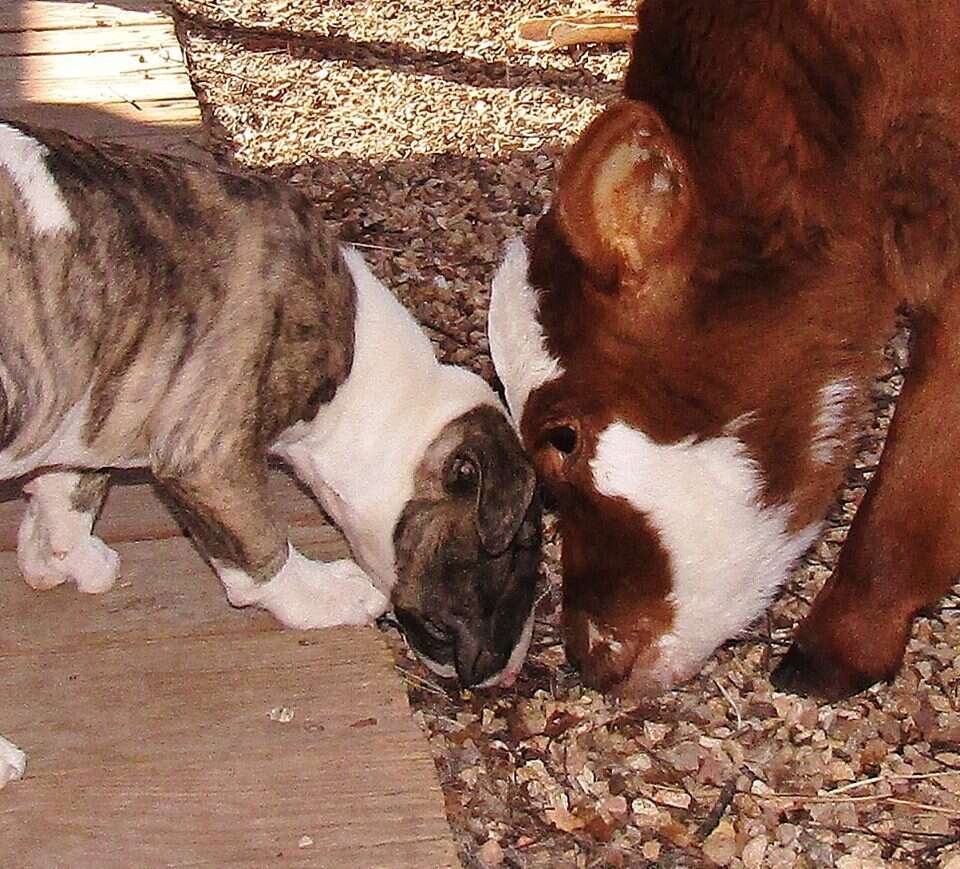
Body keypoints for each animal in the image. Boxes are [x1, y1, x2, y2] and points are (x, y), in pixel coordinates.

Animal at [0, 120, 540, 788]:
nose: (513, 669)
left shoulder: (92, 396)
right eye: (522, 546)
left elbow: (69, 485)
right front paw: (327, 596)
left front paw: (62, 557)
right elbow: (260, 548)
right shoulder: (207, 455)